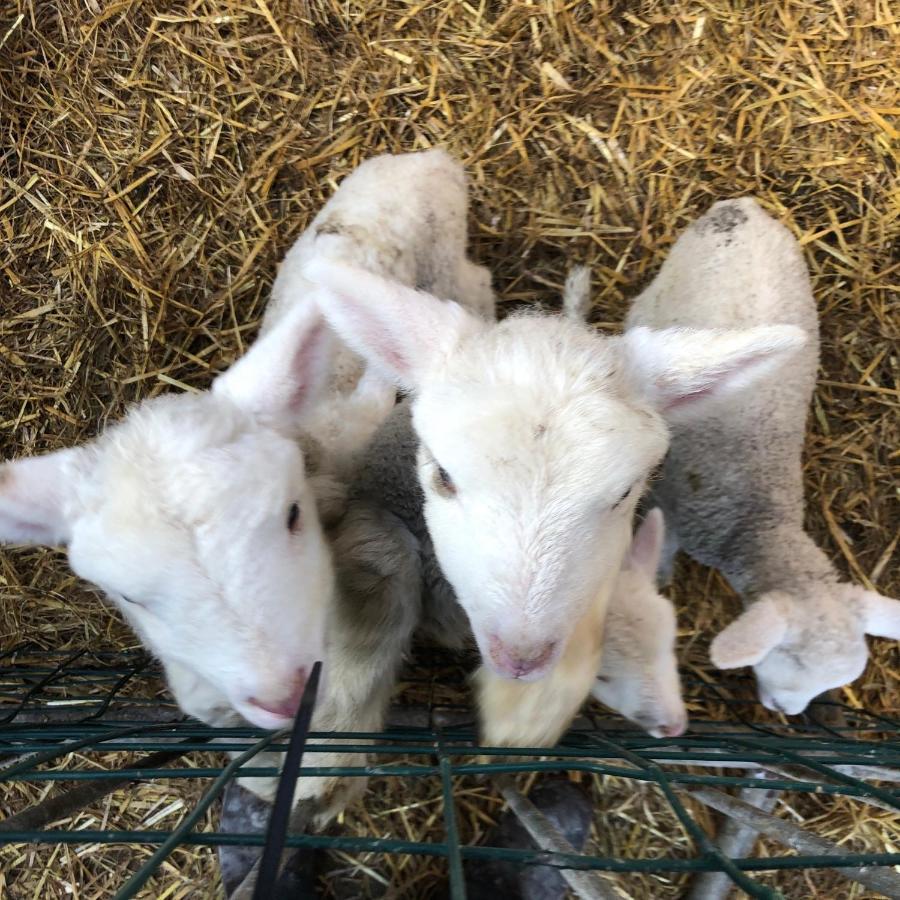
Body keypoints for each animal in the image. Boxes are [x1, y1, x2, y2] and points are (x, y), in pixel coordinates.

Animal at [0, 148, 492, 736]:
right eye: (129, 597)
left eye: (293, 515)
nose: (285, 696)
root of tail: (425, 156)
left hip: (446, 260)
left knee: (477, 283)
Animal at [624, 199, 900, 716]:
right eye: (784, 661)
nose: (786, 714)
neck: (758, 516)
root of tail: (742, 207)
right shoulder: (675, 503)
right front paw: (663, 575)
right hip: (656, 294)